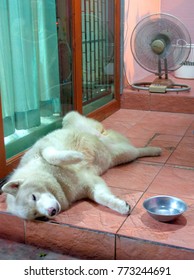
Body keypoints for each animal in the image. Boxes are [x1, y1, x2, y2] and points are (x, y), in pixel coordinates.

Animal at [1, 110, 162, 220]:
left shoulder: (44, 148)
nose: (52, 212)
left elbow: (51, 155)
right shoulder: (89, 186)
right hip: (121, 154)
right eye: (38, 216)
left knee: (138, 150)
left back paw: (155, 150)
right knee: (133, 150)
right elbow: (102, 198)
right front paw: (120, 206)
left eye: (34, 197)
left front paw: (76, 156)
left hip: (71, 119)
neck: (57, 180)